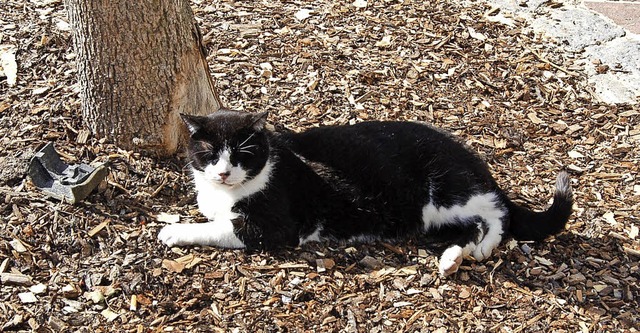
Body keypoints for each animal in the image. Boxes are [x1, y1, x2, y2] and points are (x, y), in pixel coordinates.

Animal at [158, 109, 572, 274]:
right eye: (210, 154)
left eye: (243, 155)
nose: (224, 172)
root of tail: (473, 158)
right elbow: (212, 216)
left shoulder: (275, 227)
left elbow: (219, 227)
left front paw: (174, 230)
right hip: (434, 218)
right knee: (471, 226)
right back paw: (452, 259)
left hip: (448, 191)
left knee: (499, 212)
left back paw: (483, 247)